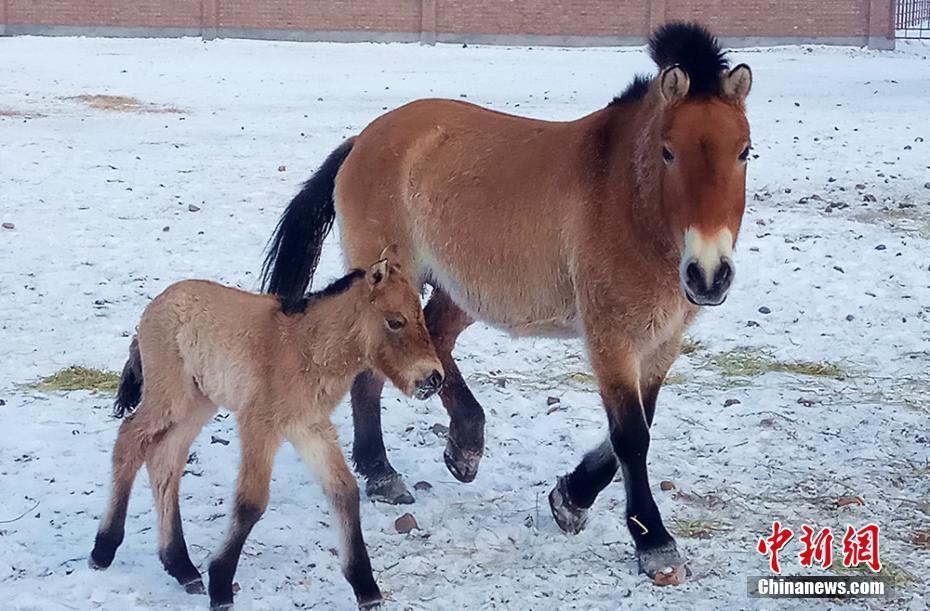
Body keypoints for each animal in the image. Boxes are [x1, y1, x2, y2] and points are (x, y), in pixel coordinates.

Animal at [89, 256, 444, 608]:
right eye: (395, 322)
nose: (434, 379)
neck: (305, 347)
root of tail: (155, 306)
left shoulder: (310, 427)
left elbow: (343, 491)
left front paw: (366, 589)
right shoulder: (259, 424)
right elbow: (251, 501)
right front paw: (221, 585)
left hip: (198, 404)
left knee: (165, 460)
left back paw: (181, 567)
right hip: (170, 398)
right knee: (130, 440)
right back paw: (103, 550)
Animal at [262, 22, 752, 588]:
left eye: (745, 152)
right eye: (669, 152)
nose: (709, 274)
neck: (626, 199)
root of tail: (364, 138)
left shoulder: (663, 341)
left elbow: (637, 427)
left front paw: (571, 498)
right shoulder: (610, 337)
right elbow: (631, 436)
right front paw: (654, 543)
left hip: (461, 289)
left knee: (437, 340)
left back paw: (461, 445)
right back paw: (385, 473)